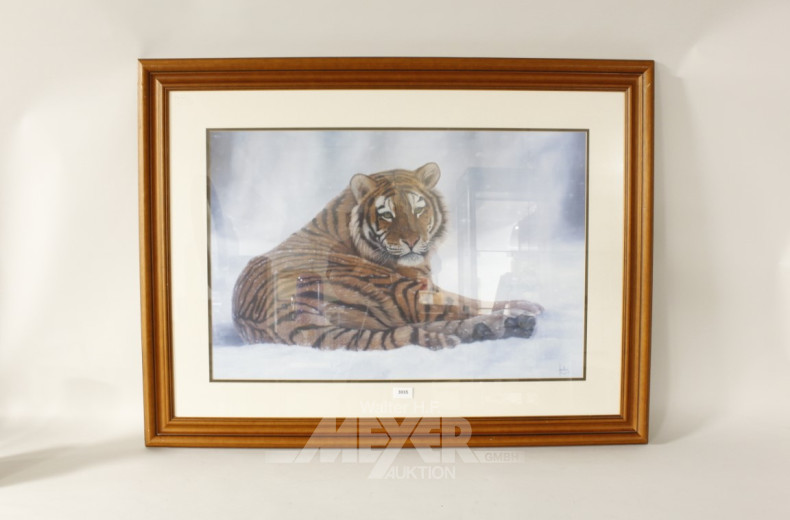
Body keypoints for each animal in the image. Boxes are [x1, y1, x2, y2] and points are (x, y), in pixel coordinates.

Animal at [232, 162, 542, 350]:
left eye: (418, 209)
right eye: (387, 214)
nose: (412, 241)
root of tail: (279, 314)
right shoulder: (417, 289)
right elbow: (470, 301)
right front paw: (528, 305)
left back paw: (501, 326)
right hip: (397, 292)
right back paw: (513, 319)